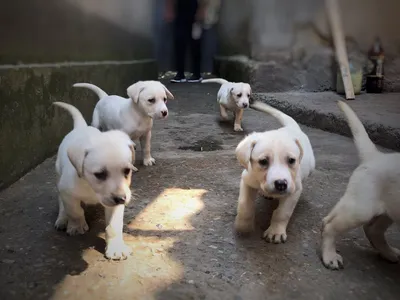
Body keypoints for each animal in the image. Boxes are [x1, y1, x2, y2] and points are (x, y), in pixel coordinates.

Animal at [53, 101, 136, 260]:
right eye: (100, 174)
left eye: (127, 171)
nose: (121, 198)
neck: (90, 186)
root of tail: (80, 127)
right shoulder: (67, 190)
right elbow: (74, 210)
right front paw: (77, 226)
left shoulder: (116, 203)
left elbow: (114, 225)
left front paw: (116, 248)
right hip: (59, 176)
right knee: (61, 202)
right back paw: (62, 218)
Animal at [234, 101, 316, 244]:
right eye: (263, 161)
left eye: (291, 160)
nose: (281, 184)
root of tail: (291, 128)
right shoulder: (246, 180)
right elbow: (244, 205)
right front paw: (243, 225)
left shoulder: (294, 190)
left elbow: (283, 213)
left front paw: (275, 232)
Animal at [320, 100, 400, 270]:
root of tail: (375, 156)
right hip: (362, 208)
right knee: (331, 225)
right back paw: (329, 256)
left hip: (387, 208)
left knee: (372, 230)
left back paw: (388, 252)